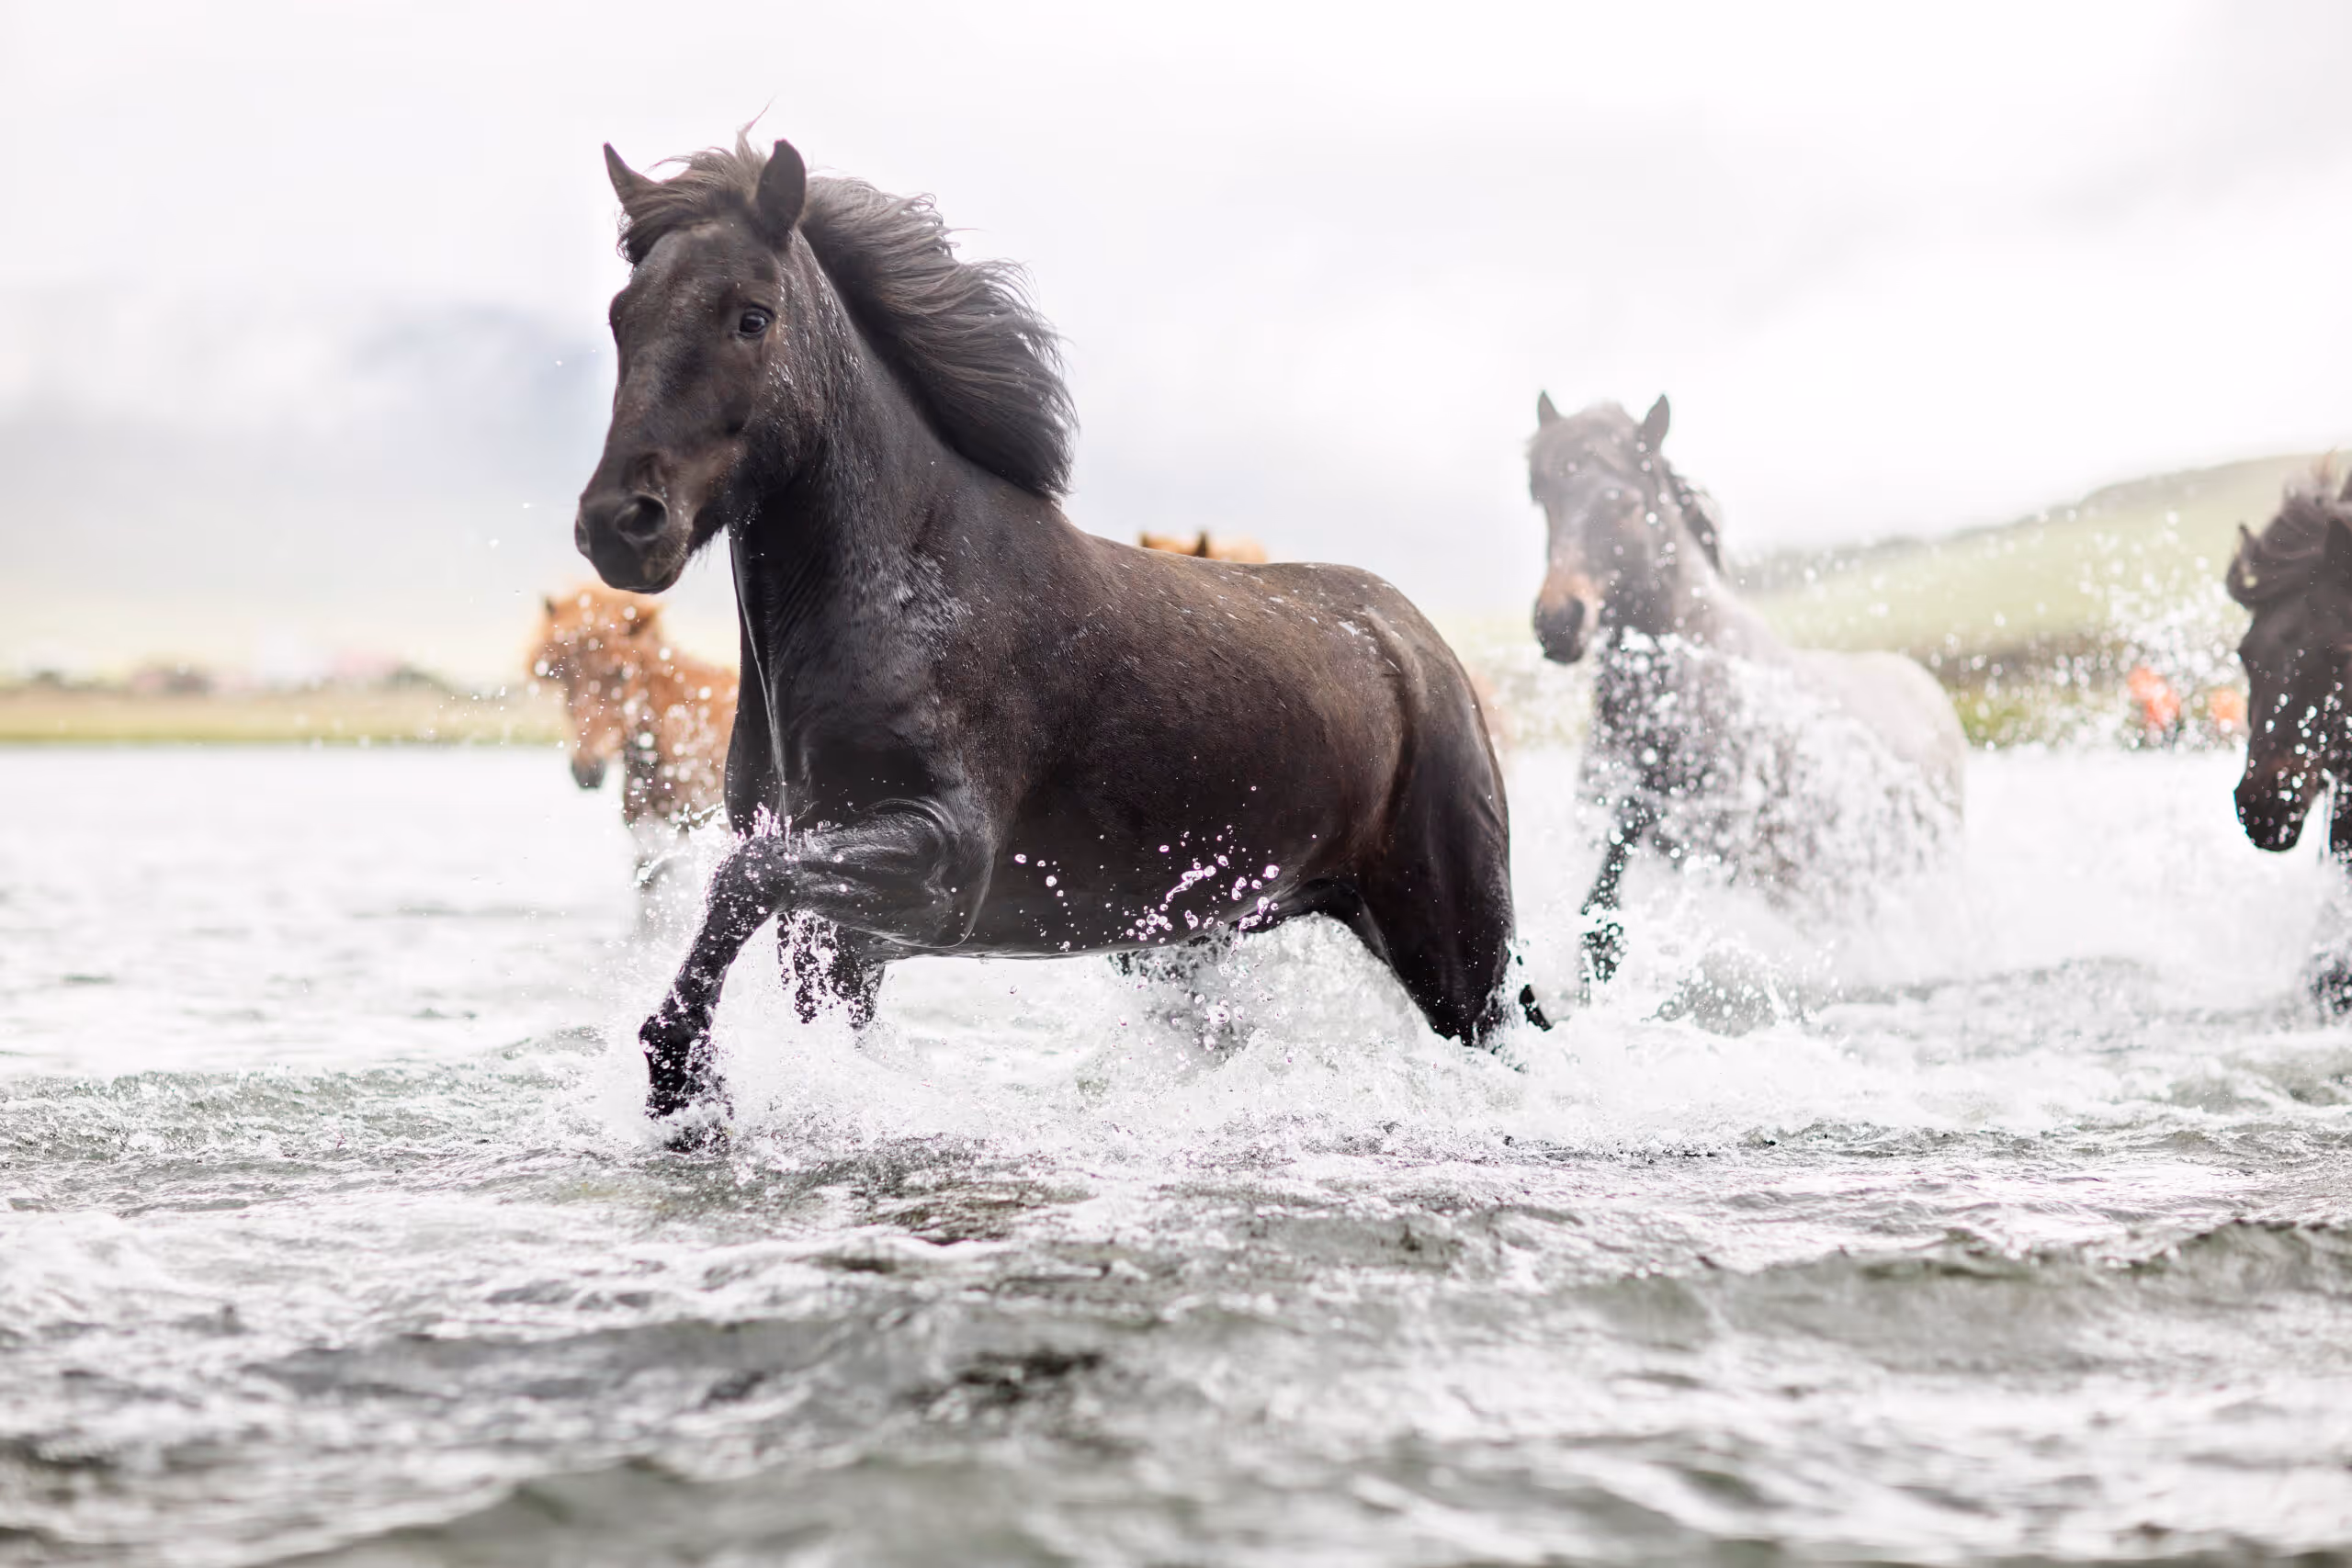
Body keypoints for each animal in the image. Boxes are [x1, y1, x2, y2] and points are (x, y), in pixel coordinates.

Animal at [574, 133, 1531, 1135]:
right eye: (623, 315)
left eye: (751, 317)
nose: (622, 523)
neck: (903, 590)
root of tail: (1417, 643)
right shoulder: (836, 932)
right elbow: (760, 916)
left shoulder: (942, 864)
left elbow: (741, 878)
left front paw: (680, 1074)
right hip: (1192, 939)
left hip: (1454, 944)